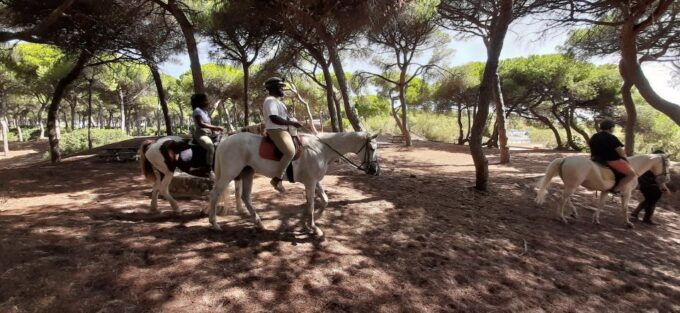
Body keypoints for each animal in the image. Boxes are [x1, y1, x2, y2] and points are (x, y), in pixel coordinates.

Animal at [205, 130, 380, 235]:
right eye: (372, 148)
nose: (375, 170)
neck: (320, 149)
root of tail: (225, 141)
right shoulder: (310, 182)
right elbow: (312, 204)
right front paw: (314, 227)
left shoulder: (314, 181)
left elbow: (324, 200)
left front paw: (309, 222)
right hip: (229, 174)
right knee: (214, 194)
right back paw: (215, 224)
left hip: (248, 172)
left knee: (245, 197)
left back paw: (259, 223)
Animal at [536, 154, 668, 227]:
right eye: (667, 164)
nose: (667, 179)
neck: (634, 167)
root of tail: (565, 159)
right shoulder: (627, 193)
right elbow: (624, 208)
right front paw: (628, 223)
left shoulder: (605, 191)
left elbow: (601, 204)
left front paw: (596, 219)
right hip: (572, 185)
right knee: (562, 199)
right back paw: (562, 218)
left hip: (570, 185)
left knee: (566, 198)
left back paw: (573, 213)